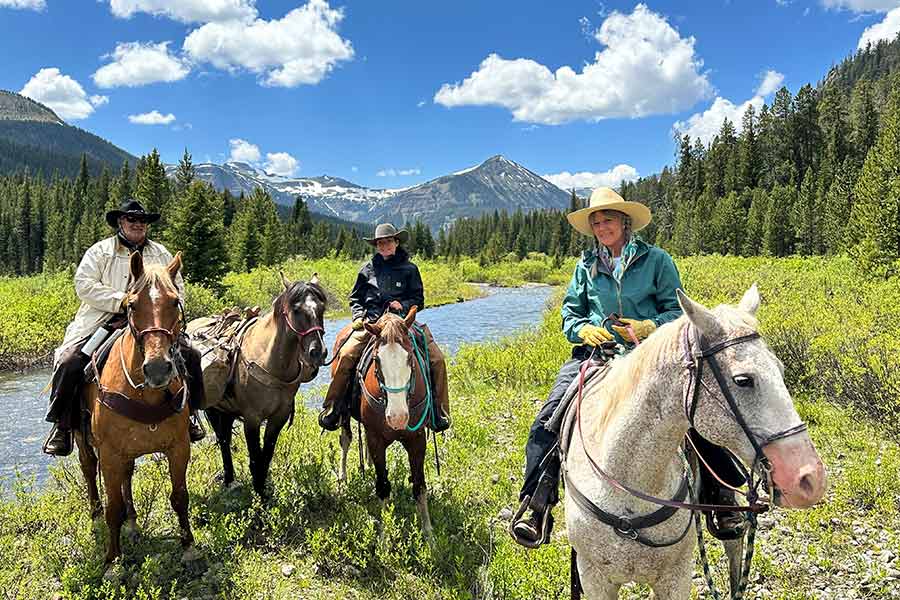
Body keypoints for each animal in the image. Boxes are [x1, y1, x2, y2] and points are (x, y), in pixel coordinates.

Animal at [75, 252, 199, 572]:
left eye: (174, 301)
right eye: (131, 304)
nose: (157, 369)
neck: (146, 394)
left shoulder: (178, 447)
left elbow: (180, 497)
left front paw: (189, 548)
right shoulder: (109, 454)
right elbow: (113, 507)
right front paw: (112, 562)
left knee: (127, 477)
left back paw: (132, 522)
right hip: (82, 439)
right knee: (88, 469)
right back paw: (95, 515)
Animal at [188, 274, 328, 496]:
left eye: (322, 308)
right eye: (296, 310)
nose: (318, 352)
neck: (269, 361)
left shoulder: (279, 417)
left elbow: (266, 455)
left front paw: (263, 491)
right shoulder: (252, 419)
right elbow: (255, 457)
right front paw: (260, 494)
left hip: (226, 409)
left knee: (225, 438)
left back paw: (230, 479)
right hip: (212, 407)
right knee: (223, 440)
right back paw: (228, 479)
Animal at [338, 308, 436, 536]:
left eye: (410, 356)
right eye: (377, 359)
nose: (398, 417)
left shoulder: (417, 439)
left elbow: (419, 485)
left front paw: (428, 533)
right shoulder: (376, 439)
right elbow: (382, 485)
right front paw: (385, 535)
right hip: (344, 414)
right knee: (345, 439)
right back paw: (343, 478)